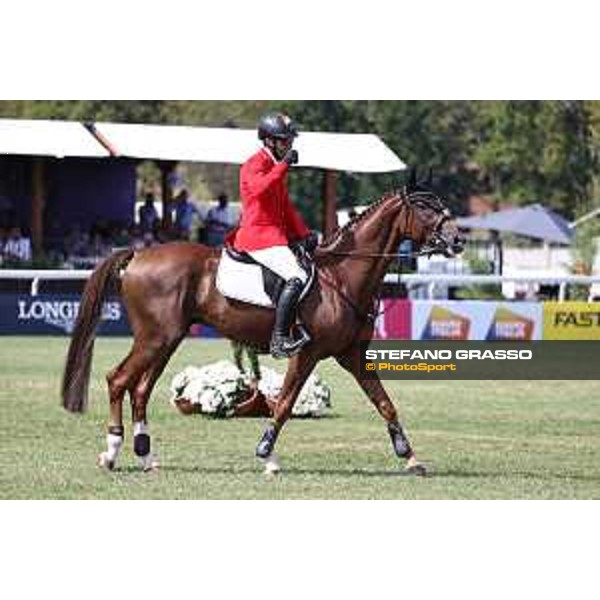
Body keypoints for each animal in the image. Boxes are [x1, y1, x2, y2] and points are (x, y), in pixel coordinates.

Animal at [61, 173, 464, 474]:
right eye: (424, 206)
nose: (458, 239)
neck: (343, 276)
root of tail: (139, 253)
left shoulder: (352, 355)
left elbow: (385, 402)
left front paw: (410, 456)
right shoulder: (307, 353)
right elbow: (283, 403)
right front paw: (267, 454)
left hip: (167, 339)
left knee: (140, 388)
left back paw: (146, 455)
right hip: (154, 338)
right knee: (119, 380)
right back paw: (112, 451)